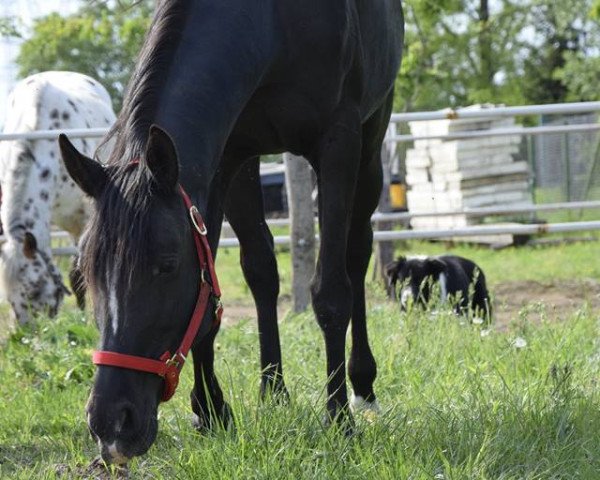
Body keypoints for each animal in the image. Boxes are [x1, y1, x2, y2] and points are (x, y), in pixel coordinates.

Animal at [59, 0, 404, 464]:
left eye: (166, 265)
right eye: (87, 273)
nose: (111, 424)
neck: (274, 23)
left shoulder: (339, 142)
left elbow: (330, 294)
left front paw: (338, 420)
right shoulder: (228, 156)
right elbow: (223, 291)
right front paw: (211, 412)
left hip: (371, 142)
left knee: (357, 254)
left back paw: (362, 388)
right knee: (263, 272)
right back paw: (273, 391)